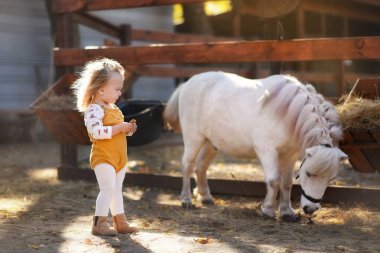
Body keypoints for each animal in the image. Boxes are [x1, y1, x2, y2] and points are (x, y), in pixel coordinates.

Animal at [163, 71, 348, 221]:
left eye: (330, 179)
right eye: (308, 174)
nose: (310, 209)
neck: (287, 114)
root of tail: (188, 83)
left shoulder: (290, 155)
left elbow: (286, 182)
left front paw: (287, 212)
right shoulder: (267, 151)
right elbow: (274, 181)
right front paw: (267, 210)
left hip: (210, 143)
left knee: (201, 166)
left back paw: (205, 197)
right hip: (193, 139)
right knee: (187, 165)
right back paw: (186, 199)